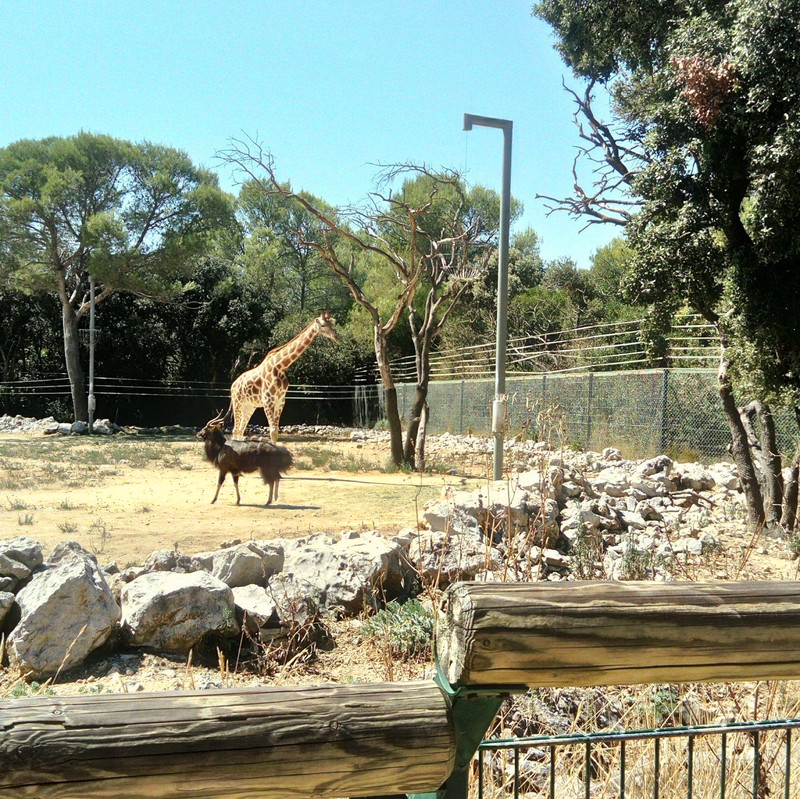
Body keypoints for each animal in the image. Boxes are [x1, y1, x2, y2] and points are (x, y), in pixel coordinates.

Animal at [228, 310, 338, 440]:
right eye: (323, 325)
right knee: (235, 430)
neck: (280, 366)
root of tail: (233, 385)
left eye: (332, 324)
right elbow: (272, 431)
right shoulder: (268, 400)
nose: (336, 337)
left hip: (249, 406)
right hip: (237, 403)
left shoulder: (280, 400)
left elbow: (275, 432)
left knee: (240, 431)